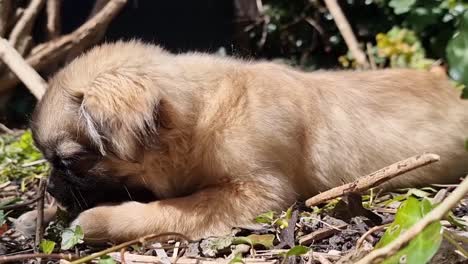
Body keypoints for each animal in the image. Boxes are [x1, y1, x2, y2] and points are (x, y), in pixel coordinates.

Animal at [32, 40, 468, 242]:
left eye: (68, 163)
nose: (51, 189)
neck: (204, 119)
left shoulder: (259, 193)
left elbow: (172, 210)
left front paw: (98, 220)